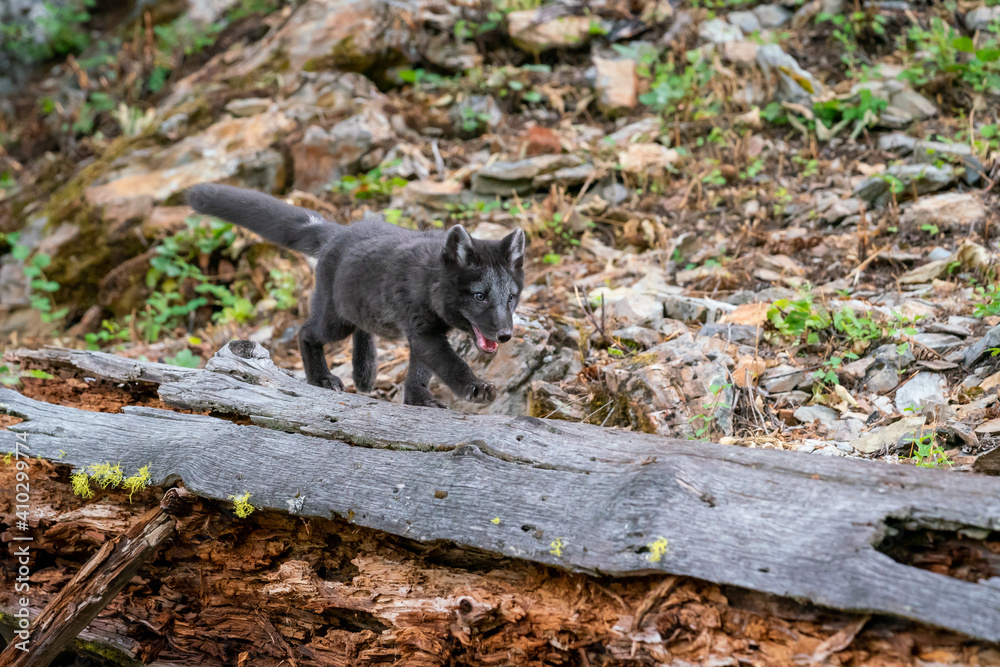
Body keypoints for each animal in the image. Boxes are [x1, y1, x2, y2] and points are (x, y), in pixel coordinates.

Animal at [185, 183, 525, 408]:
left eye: (511, 297)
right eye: (479, 296)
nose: (505, 335)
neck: (430, 279)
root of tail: (337, 231)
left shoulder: (425, 334)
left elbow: (419, 372)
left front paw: (418, 400)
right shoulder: (423, 331)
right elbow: (451, 366)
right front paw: (476, 387)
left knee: (362, 330)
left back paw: (364, 373)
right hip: (334, 322)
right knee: (306, 332)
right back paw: (322, 378)